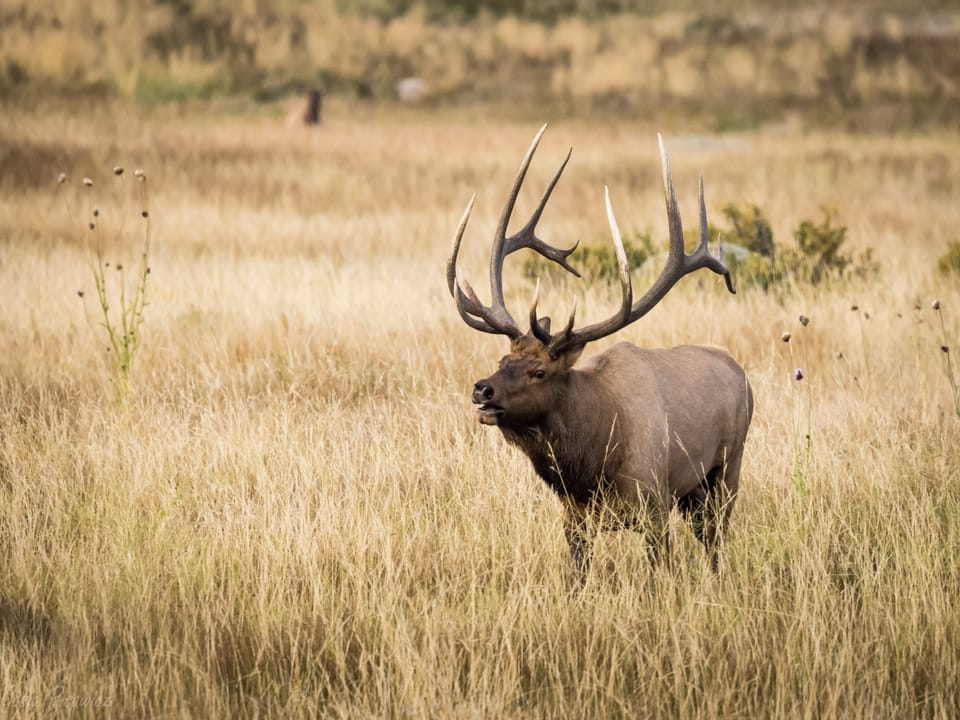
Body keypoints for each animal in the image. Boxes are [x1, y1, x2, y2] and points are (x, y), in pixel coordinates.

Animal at [446, 125, 753, 582]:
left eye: (540, 371)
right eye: (503, 361)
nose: (483, 390)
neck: (592, 465)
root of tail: (742, 375)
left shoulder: (654, 506)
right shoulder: (574, 518)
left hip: (726, 470)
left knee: (716, 542)